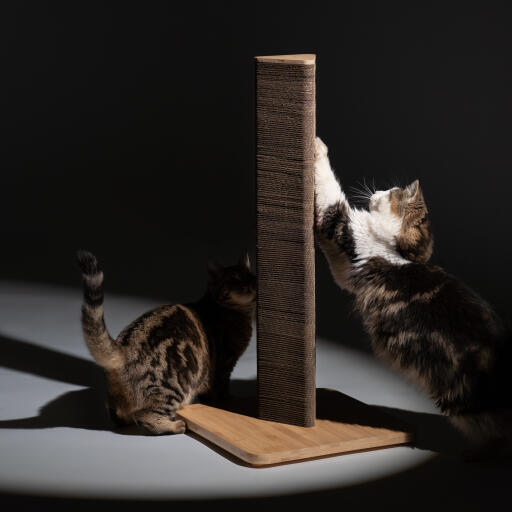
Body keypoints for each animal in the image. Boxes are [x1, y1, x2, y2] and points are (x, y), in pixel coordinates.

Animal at [76, 250, 256, 434]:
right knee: (145, 416)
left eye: (252, 277)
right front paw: (227, 401)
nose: (249, 286)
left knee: (118, 416)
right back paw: (174, 426)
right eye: (234, 279)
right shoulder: (224, 364)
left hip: (117, 397)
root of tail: (121, 348)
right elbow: (222, 389)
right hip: (171, 388)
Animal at [314, 136, 510, 448]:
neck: (398, 253)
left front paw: (317, 146)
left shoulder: (342, 232)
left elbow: (329, 192)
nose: (377, 191)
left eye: (391, 192)